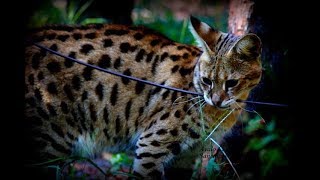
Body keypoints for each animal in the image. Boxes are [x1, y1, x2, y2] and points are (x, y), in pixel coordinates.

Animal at [24, 16, 262, 178]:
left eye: (231, 83)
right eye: (206, 80)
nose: (216, 99)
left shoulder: (187, 156)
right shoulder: (152, 145)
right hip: (50, 143)